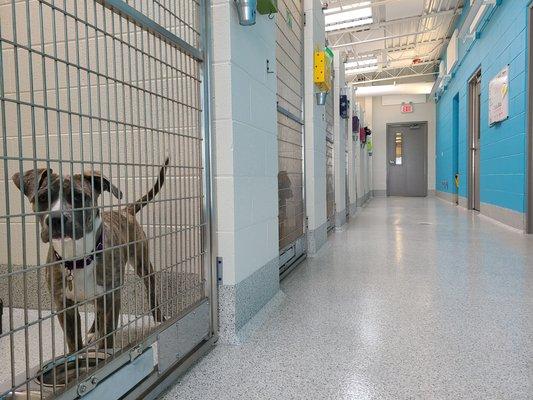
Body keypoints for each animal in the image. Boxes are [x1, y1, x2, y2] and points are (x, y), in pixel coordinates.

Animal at [11, 159, 168, 354]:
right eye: (42, 198)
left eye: (79, 197)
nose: (56, 219)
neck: (78, 258)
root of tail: (125, 210)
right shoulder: (64, 305)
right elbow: (74, 341)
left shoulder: (111, 297)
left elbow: (107, 336)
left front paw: (104, 353)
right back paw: (93, 331)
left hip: (142, 264)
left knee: (150, 287)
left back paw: (158, 317)